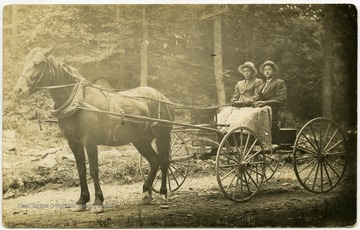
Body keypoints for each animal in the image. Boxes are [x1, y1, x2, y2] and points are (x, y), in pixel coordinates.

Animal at [14, 46, 175, 214]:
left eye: (38, 63)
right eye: (26, 62)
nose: (18, 90)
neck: (78, 101)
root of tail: (163, 97)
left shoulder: (90, 141)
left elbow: (93, 170)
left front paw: (98, 201)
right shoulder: (74, 142)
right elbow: (81, 170)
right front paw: (82, 200)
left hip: (162, 134)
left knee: (164, 161)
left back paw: (163, 194)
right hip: (140, 140)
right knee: (155, 161)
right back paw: (146, 193)